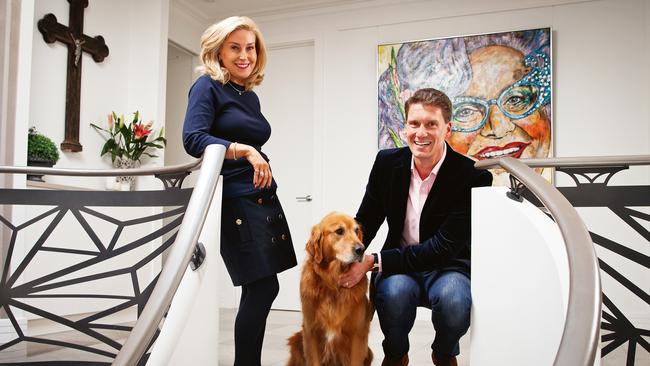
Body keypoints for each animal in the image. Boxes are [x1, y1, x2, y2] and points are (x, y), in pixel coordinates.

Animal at [286, 213, 372, 364]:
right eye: (339, 231)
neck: (333, 283)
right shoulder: (311, 332)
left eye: (356, 231)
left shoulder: (357, 335)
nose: (361, 249)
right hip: (296, 340)